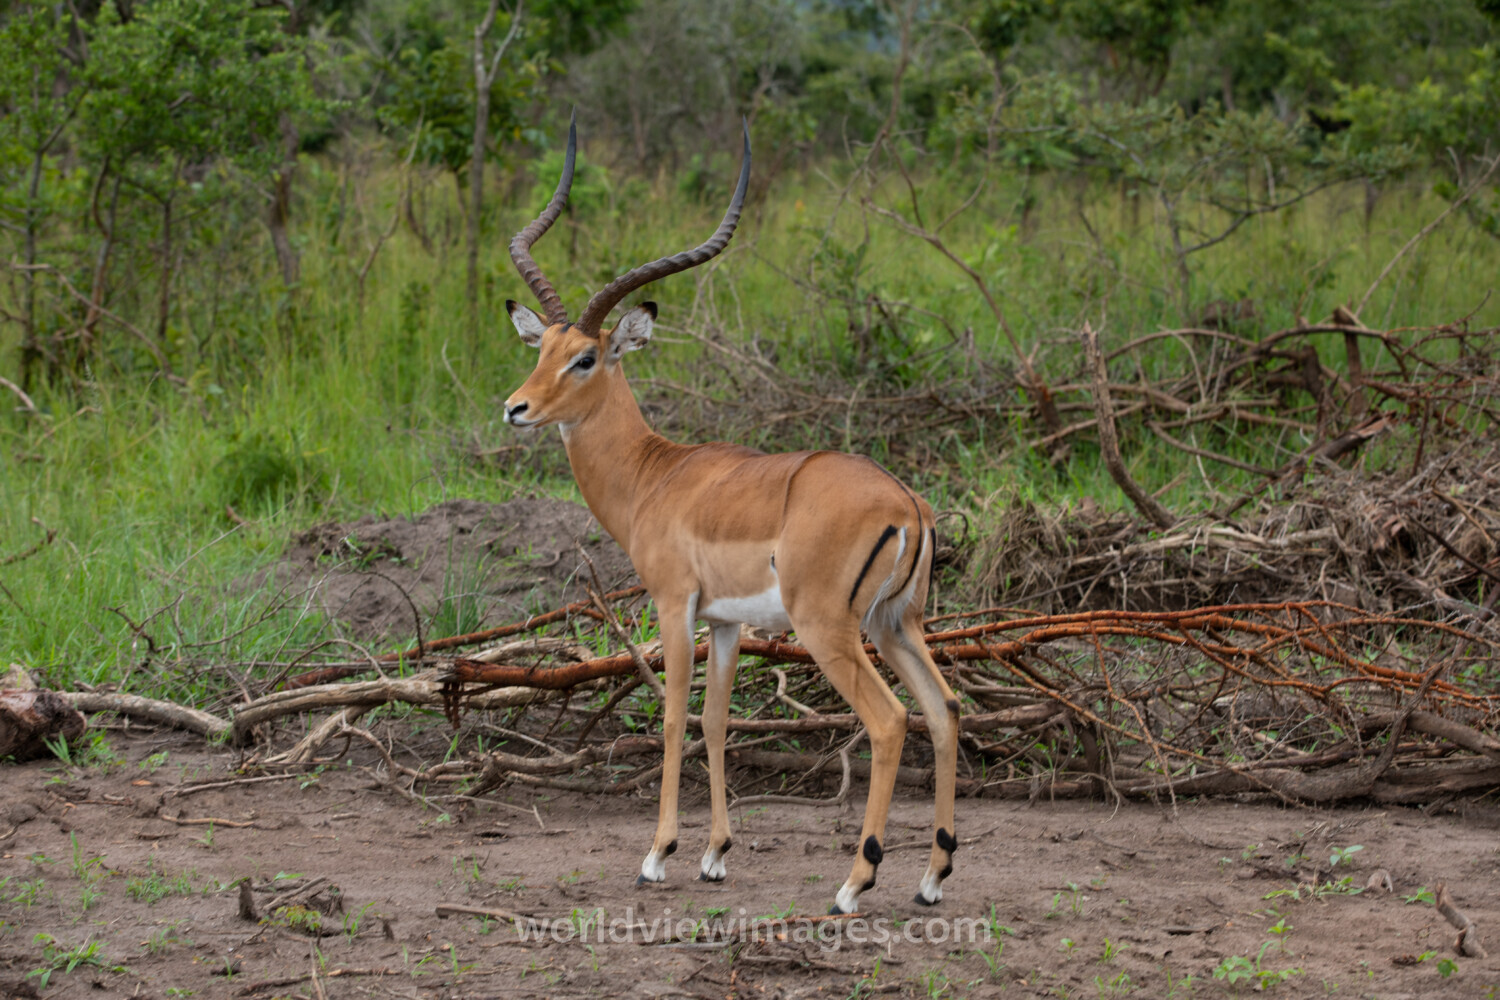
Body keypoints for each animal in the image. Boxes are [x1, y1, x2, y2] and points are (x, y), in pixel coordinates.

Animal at [502, 114, 959, 914]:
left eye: (586, 357)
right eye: (544, 347)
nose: (516, 408)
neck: (655, 475)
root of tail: (906, 502)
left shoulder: (672, 604)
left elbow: (673, 713)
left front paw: (657, 855)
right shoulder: (725, 622)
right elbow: (716, 720)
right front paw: (715, 853)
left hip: (830, 628)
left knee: (889, 719)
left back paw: (854, 883)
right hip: (895, 623)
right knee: (943, 710)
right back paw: (931, 878)